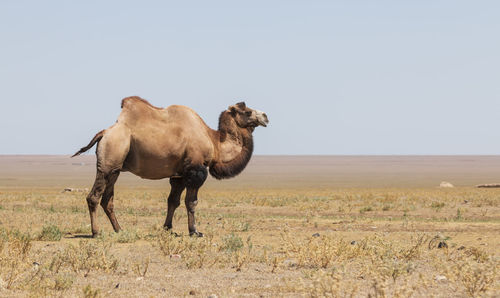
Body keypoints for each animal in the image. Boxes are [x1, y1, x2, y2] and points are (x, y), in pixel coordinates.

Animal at [72, 97, 268, 237]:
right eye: (248, 111)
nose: (265, 116)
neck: (214, 142)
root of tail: (104, 133)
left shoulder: (179, 174)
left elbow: (173, 200)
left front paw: (168, 228)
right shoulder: (196, 170)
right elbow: (191, 202)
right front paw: (194, 231)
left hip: (115, 169)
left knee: (107, 199)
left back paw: (119, 230)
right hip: (107, 162)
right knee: (93, 197)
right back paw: (96, 232)